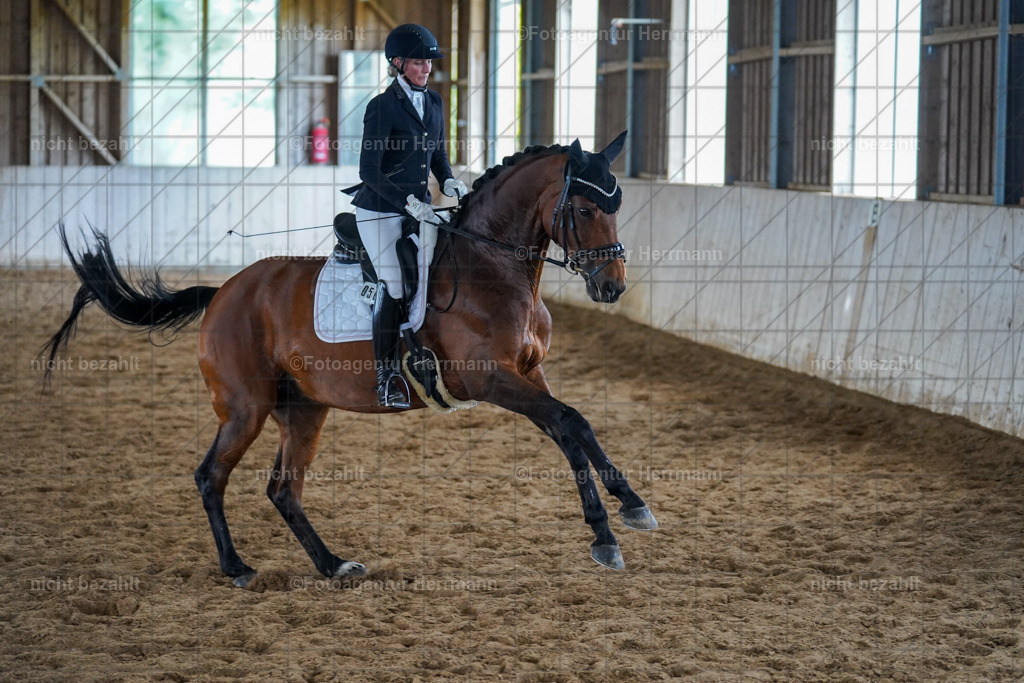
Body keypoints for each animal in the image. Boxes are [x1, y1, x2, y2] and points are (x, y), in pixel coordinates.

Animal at [43, 133, 658, 588]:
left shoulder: (530, 373)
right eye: (584, 208)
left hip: (304, 410)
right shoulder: (488, 378)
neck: (494, 267)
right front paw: (615, 523)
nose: (612, 287)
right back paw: (237, 568)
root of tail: (223, 292)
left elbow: (571, 426)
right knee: (211, 476)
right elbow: (567, 421)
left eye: (618, 205)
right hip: (246, 409)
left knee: (283, 491)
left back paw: (333, 564)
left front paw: (621, 517)